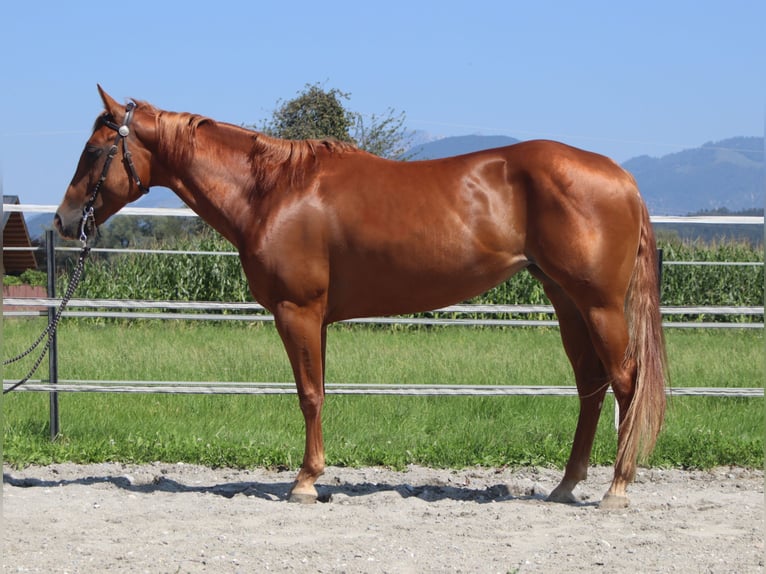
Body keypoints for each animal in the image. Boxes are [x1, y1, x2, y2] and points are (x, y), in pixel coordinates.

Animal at [55, 85, 664, 508]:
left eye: (94, 151)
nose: (63, 221)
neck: (272, 191)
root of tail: (622, 178)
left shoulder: (297, 312)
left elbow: (308, 395)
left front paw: (304, 483)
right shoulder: (317, 319)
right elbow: (319, 392)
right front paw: (314, 477)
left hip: (599, 305)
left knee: (625, 382)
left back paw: (616, 489)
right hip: (566, 301)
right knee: (591, 385)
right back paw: (566, 485)